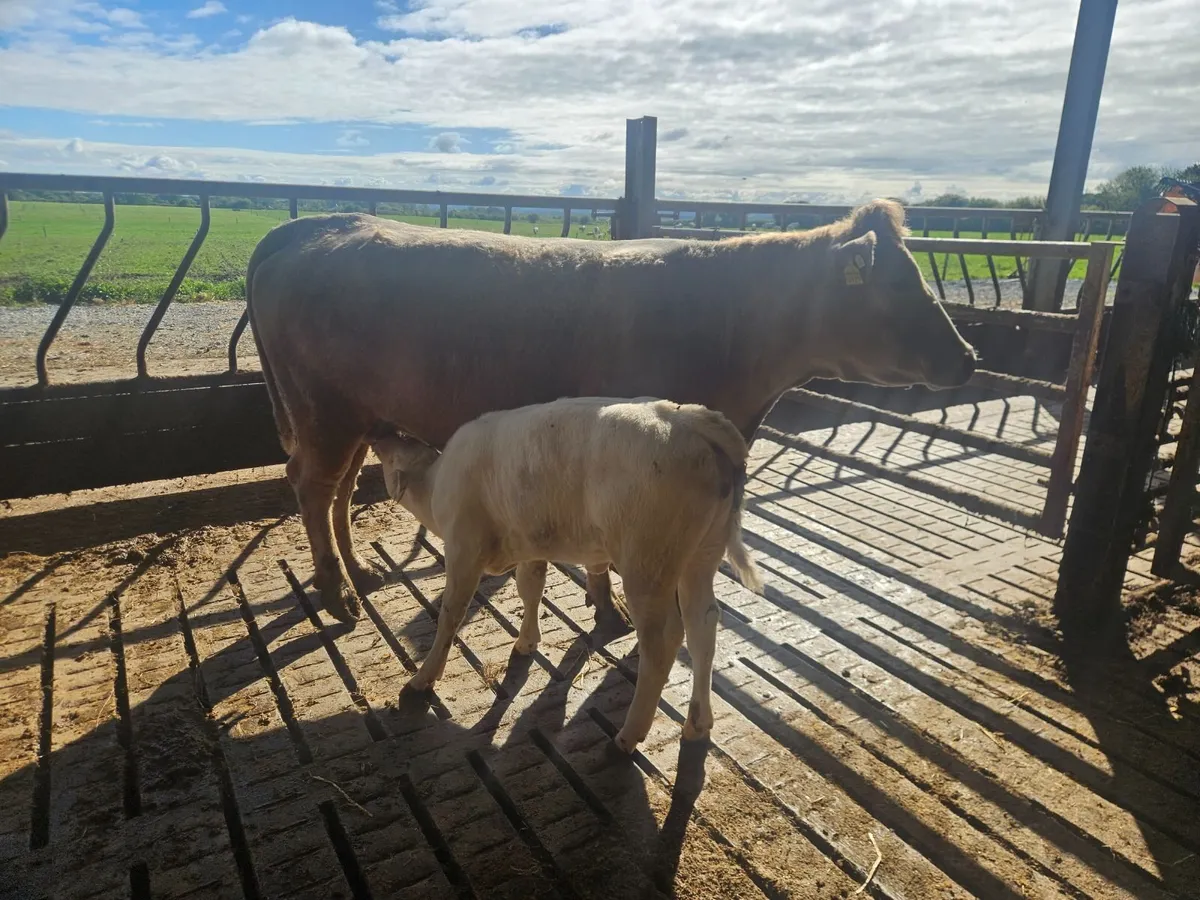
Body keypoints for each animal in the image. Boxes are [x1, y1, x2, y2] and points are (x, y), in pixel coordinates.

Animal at [244, 199, 976, 625]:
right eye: (899, 287)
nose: (968, 356)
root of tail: (310, 225)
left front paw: (605, 604)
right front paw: (613, 605)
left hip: (354, 416)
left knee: (338, 490)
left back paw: (358, 574)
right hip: (323, 411)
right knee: (312, 487)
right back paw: (336, 594)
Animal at [370, 396, 762, 751]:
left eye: (392, 455)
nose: (380, 431)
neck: (436, 484)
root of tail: (689, 418)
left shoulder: (464, 548)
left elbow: (451, 612)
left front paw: (422, 680)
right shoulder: (529, 544)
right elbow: (530, 588)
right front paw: (526, 642)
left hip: (646, 562)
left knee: (662, 641)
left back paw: (629, 736)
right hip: (701, 554)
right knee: (703, 624)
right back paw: (698, 723)